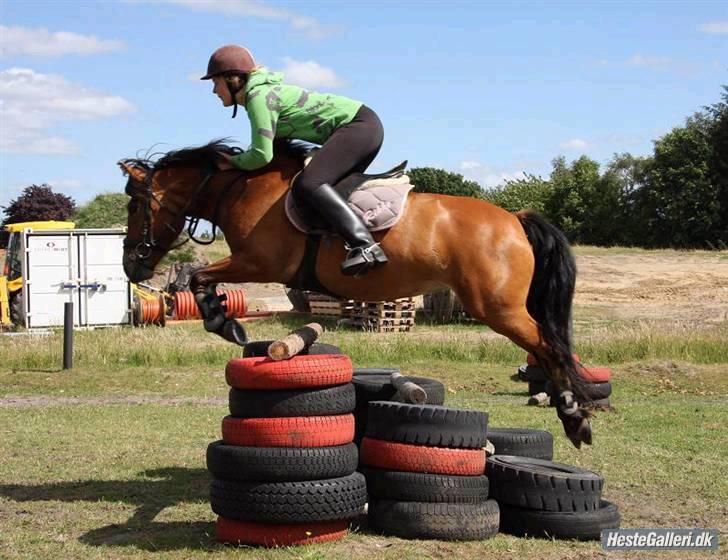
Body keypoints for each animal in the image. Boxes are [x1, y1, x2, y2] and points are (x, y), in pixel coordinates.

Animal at [119, 141, 596, 450]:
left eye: (135, 205)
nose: (130, 266)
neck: (243, 188)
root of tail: (514, 218)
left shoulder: (260, 263)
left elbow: (200, 277)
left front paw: (224, 323)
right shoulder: (254, 264)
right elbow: (202, 279)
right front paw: (225, 320)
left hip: (497, 308)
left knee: (549, 346)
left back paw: (575, 418)